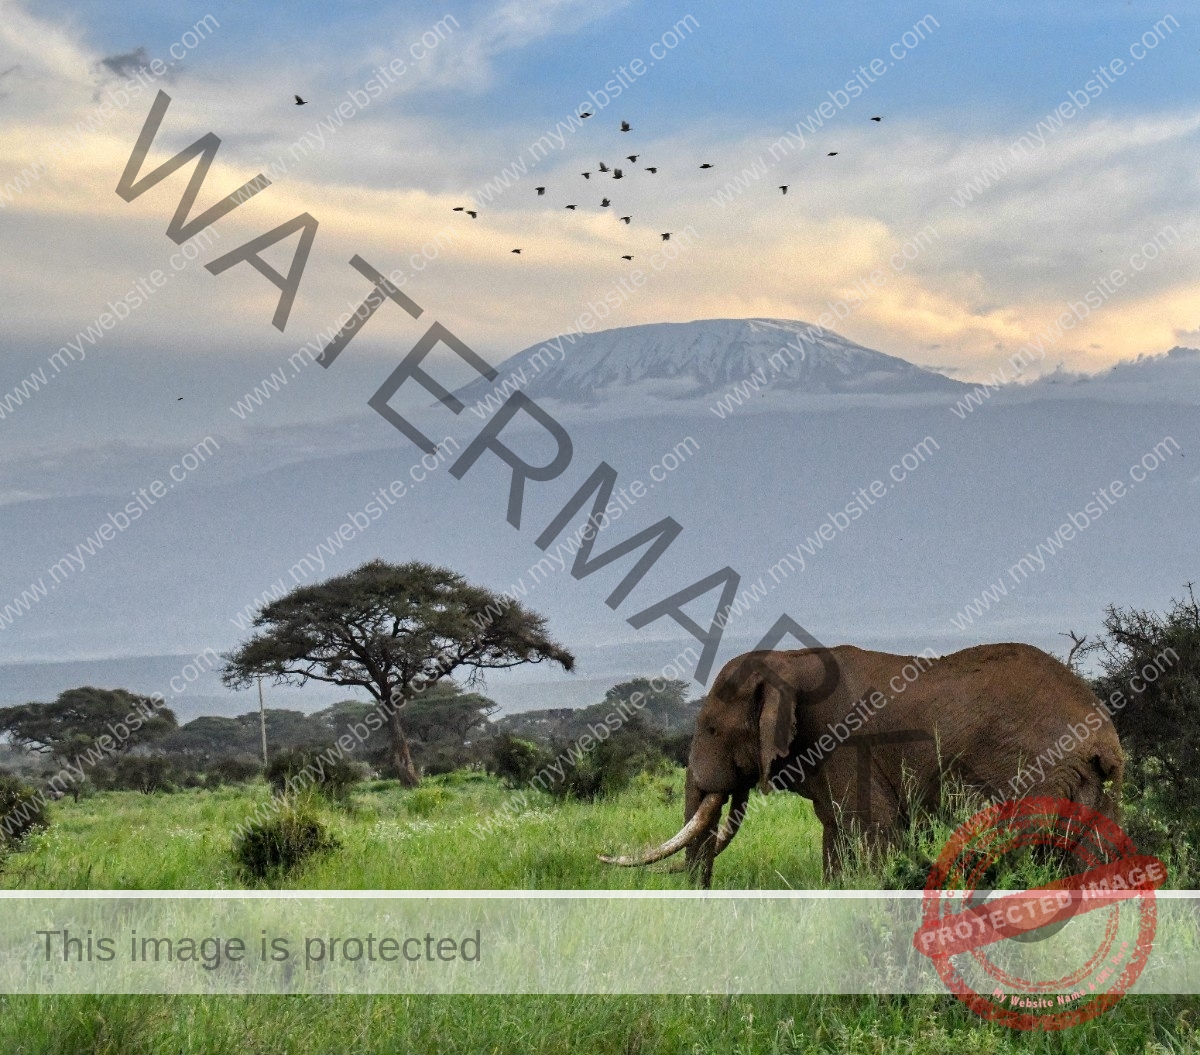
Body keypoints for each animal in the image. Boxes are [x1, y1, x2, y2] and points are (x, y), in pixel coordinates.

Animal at [601, 642, 1123, 887]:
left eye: (710, 729)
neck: (789, 661)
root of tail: (1104, 737)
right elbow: (835, 837)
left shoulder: (850, 747)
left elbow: (867, 834)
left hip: (1037, 772)